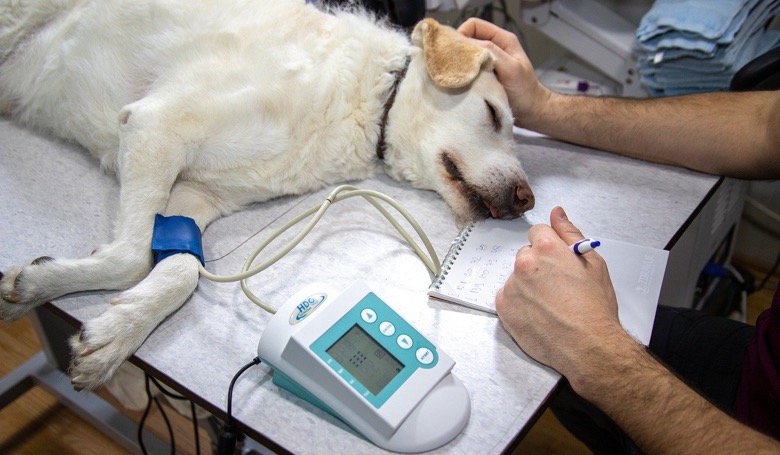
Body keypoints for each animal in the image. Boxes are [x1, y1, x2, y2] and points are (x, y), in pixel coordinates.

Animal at [0, 0, 532, 392]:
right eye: (492, 114)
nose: (528, 200)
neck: (367, 99)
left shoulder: (194, 196)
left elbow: (180, 270)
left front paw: (111, 331)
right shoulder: (157, 125)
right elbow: (132, 258)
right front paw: (48, 288)